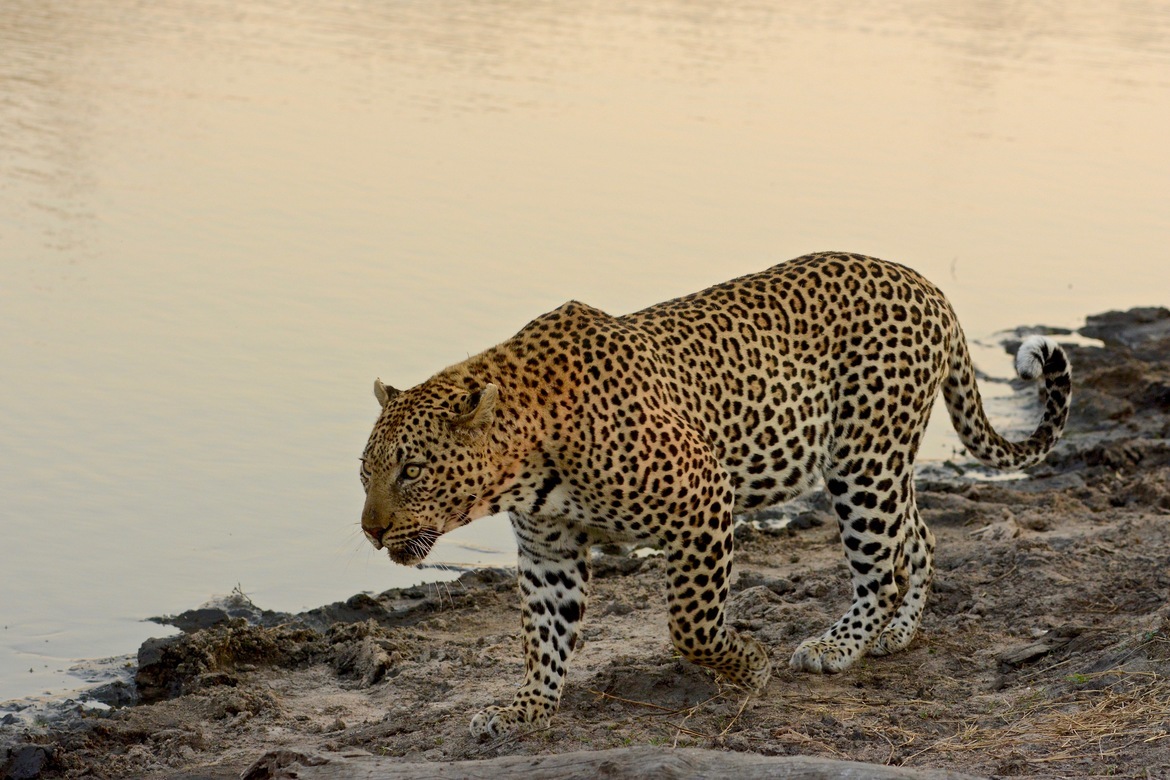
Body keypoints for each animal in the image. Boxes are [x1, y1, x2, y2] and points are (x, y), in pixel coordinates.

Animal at [358, 252, 1071, 739]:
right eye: (365, 472)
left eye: (411, 470)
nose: (370, 530)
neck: (525, 458)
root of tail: (927, 285)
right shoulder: (548, 550)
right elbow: (544, 635)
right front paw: (525, 708)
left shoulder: (702, 498)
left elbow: (690, 624)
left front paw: (748, 666)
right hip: (884, 465)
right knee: (918, 536)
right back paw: (895, 633)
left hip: (862, 461)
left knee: (883, 566)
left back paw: (839, 645)